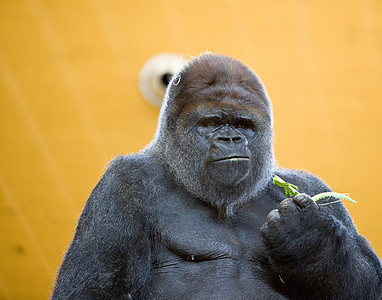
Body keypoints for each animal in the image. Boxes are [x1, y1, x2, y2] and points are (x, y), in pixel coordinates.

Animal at [52, 55, 380, 298]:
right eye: (211, 123)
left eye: (243, 124)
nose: (231, 139)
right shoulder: (121, 183)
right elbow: (96, 289)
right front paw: (307, 236)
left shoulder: (312, 186)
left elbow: (370, 283)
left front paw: (311, 240)